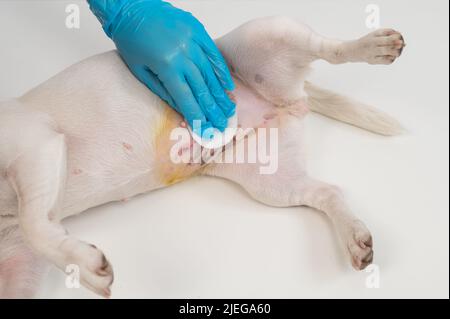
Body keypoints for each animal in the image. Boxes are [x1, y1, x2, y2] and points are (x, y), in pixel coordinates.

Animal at [0, 16, 404, 298]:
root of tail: (290, 99)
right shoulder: (19, 257)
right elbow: (35, 237)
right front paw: (76, 260)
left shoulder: (38, 144)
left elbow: (36, 223)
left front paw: (85, 266)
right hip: (272, 182)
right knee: (327, 192)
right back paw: (355, 237)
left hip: (269, 31)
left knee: (329, 48)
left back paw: (374, 47)